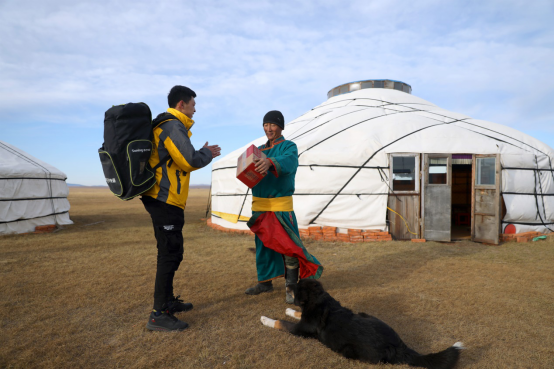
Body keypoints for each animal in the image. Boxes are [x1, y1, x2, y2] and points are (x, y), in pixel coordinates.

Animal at [258, 280, 462, 370]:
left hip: (348, 350)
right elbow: (297, 313)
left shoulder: (299, 329)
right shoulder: (305, 318)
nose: (287, 285)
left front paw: (265, 319)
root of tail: (397, 346)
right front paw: (289, 310)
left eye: (297, 284)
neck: (317, 299)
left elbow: (280, 323)